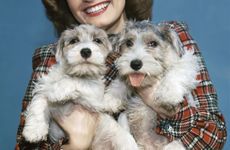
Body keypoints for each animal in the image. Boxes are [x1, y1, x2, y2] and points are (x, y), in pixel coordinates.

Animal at [108, 20, 199, 149]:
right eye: (129, 42)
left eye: (153, 43)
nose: (135, 64)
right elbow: (120, 81)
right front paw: (110, 99)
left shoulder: (187, 61)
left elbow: (176, 71)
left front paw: (169, 95)